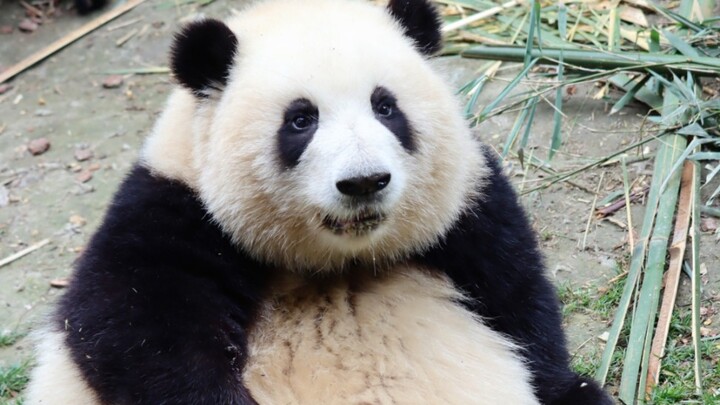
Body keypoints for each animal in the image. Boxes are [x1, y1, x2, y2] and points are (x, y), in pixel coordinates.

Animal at [25, 0, 613, 404]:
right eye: (300, 119)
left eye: (385, 107)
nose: (364, 182)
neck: (335, 261)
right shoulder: (175, 209)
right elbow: (129, 330)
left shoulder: (468, 208)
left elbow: (518, 299)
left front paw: (570, 387)